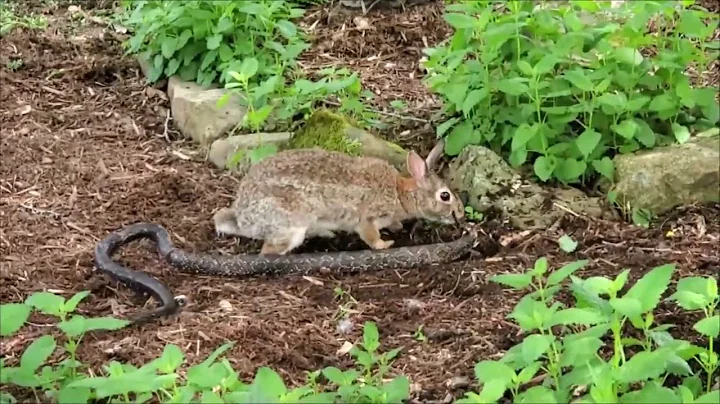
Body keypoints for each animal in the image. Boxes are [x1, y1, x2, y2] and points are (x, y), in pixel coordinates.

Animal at [213, 138, 465, 256]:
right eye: (445, 196)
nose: (460, 213)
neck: (400, 193)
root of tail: (244, 220)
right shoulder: (367, 218)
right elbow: (370, 235)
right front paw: (385, 244)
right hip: (290, 225)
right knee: (268, 251)